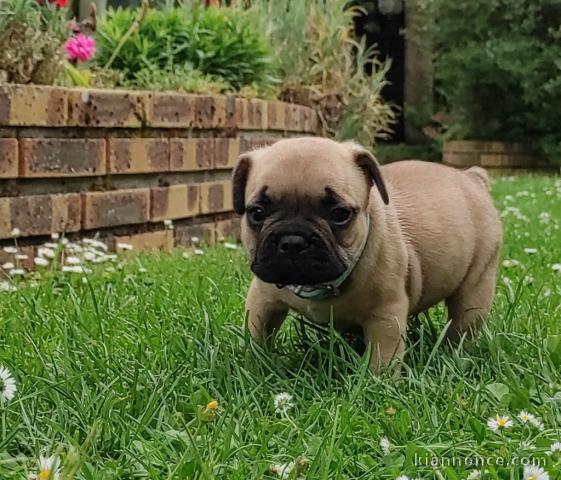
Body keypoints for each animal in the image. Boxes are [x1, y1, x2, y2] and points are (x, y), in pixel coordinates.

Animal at [230, 138, 500, 372]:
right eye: (256, 212)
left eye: (340, 214)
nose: (293, 241)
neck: (319, 285)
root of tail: (472, 177)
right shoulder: (262, 300)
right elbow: (256, 336)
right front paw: (254, 367)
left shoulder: (385, 316)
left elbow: (382, 359)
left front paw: (376, 384)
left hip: (476, 287)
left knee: (463, 325)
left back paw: (453, 356)